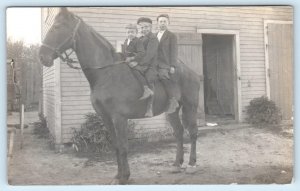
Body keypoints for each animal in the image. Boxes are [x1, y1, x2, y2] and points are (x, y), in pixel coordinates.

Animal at [38, 7, 200, 184]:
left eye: (57, 27)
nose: (42, 57)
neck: (107, 73)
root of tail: (191, 72)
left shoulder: (119, 118)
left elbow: (123, 146)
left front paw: (124, 177)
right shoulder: (106, 117)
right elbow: (115, 145)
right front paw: (118, 175)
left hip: (190, 106)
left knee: (192, 133)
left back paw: (191, 165)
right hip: (172, 112)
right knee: (178, 132)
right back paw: (177, 164)